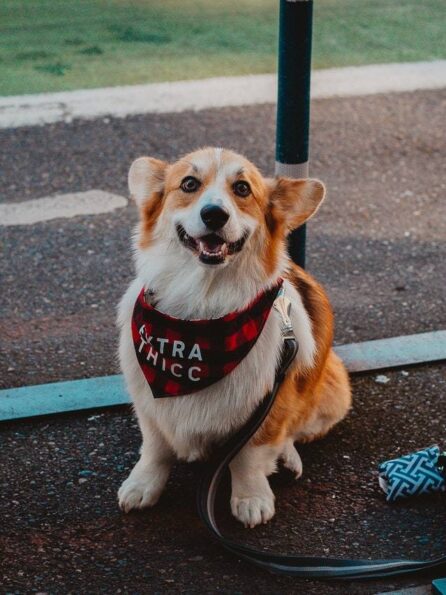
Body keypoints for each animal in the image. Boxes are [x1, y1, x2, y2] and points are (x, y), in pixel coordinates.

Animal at [116, 148, 350, 528]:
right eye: (189, 184)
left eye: (242, 188)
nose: (214, 214)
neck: (201, 310)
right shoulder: (149, 404)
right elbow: (155, 448)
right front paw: (142, 486)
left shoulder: (269, 402)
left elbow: (249, 456)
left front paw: (251, 499)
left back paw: (288, 459)